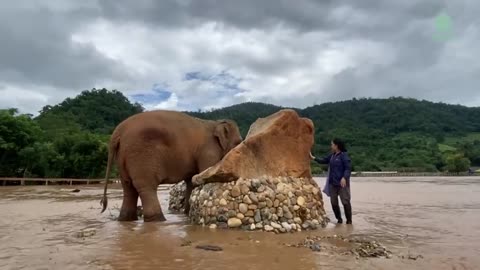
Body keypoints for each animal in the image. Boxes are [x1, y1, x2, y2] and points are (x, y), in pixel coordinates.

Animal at [101, 109, 244, 221]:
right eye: (239, 142)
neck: (215, 122)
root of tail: (117, 132)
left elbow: (191, 181)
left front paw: (187, 213)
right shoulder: (208, 151)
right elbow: (204, 173)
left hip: (123, 156)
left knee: (128, 187)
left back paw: (126, 219)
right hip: (140, 154)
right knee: (146, 187)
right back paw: (158, 220)